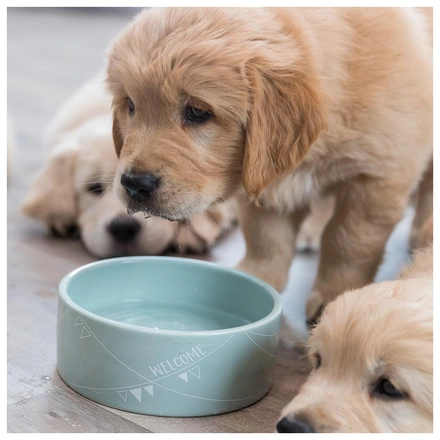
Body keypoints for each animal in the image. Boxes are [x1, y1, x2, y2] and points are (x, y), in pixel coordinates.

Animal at [107, 6, 434, 322]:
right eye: (131, 106)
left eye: (197, 112)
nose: (134, 185)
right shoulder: (259, 178)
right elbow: (264, 236)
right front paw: (255, 279)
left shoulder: (376, 176)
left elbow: (349, 241)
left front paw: (336, 297)